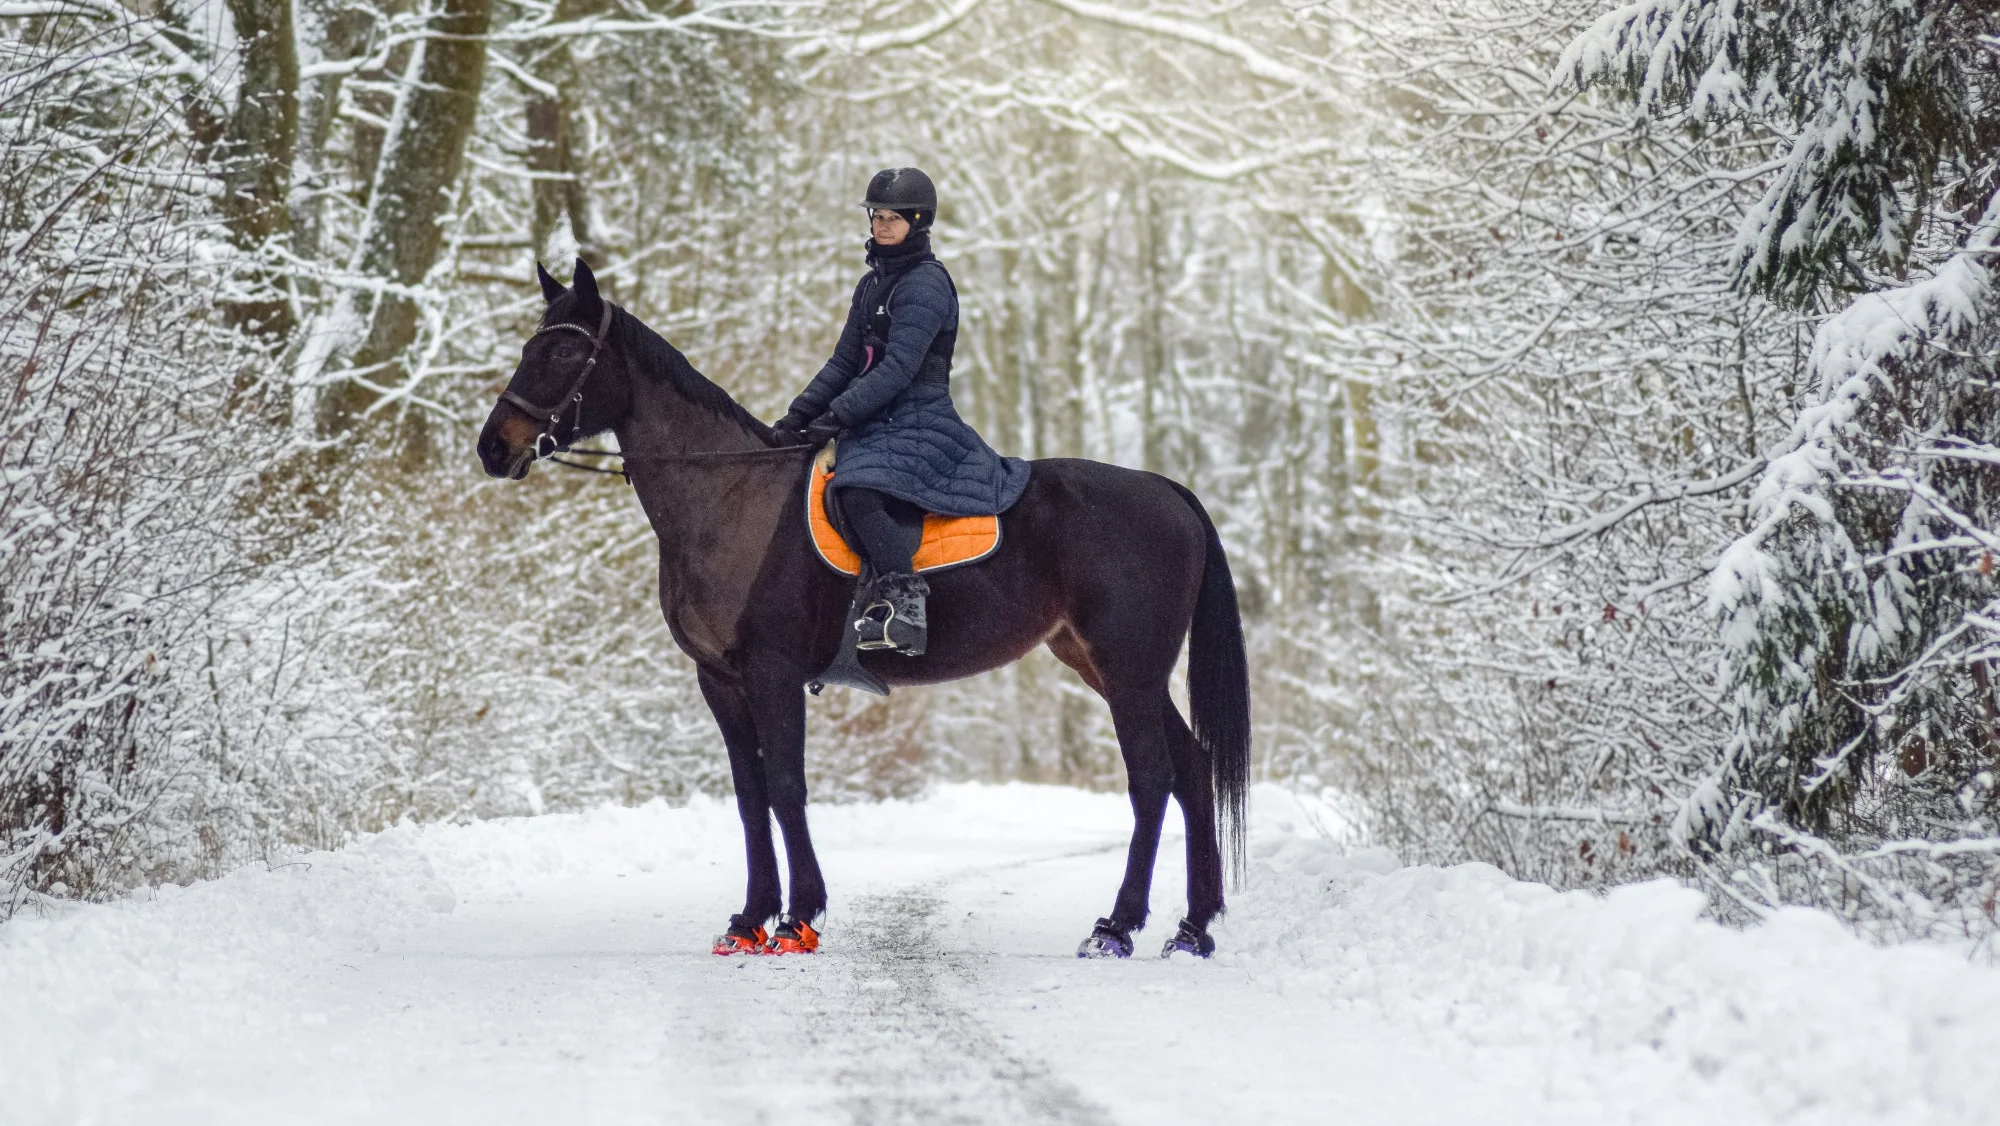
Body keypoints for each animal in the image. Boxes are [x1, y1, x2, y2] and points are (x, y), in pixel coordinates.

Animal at [476, 260, 1250, 958]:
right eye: (531, 347)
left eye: (565, 351)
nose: (494, 447)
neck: (730, 499)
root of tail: (1165, 490)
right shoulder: (720, 680)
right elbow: (749, 795)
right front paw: (749, 919)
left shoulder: (773, 671)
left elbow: (786, 786)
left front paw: (798, 918)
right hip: (1108, 666)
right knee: (1191, 769)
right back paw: (1192, 928)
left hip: (1128, 668)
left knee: (1153, 778)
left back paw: (1117, 927)